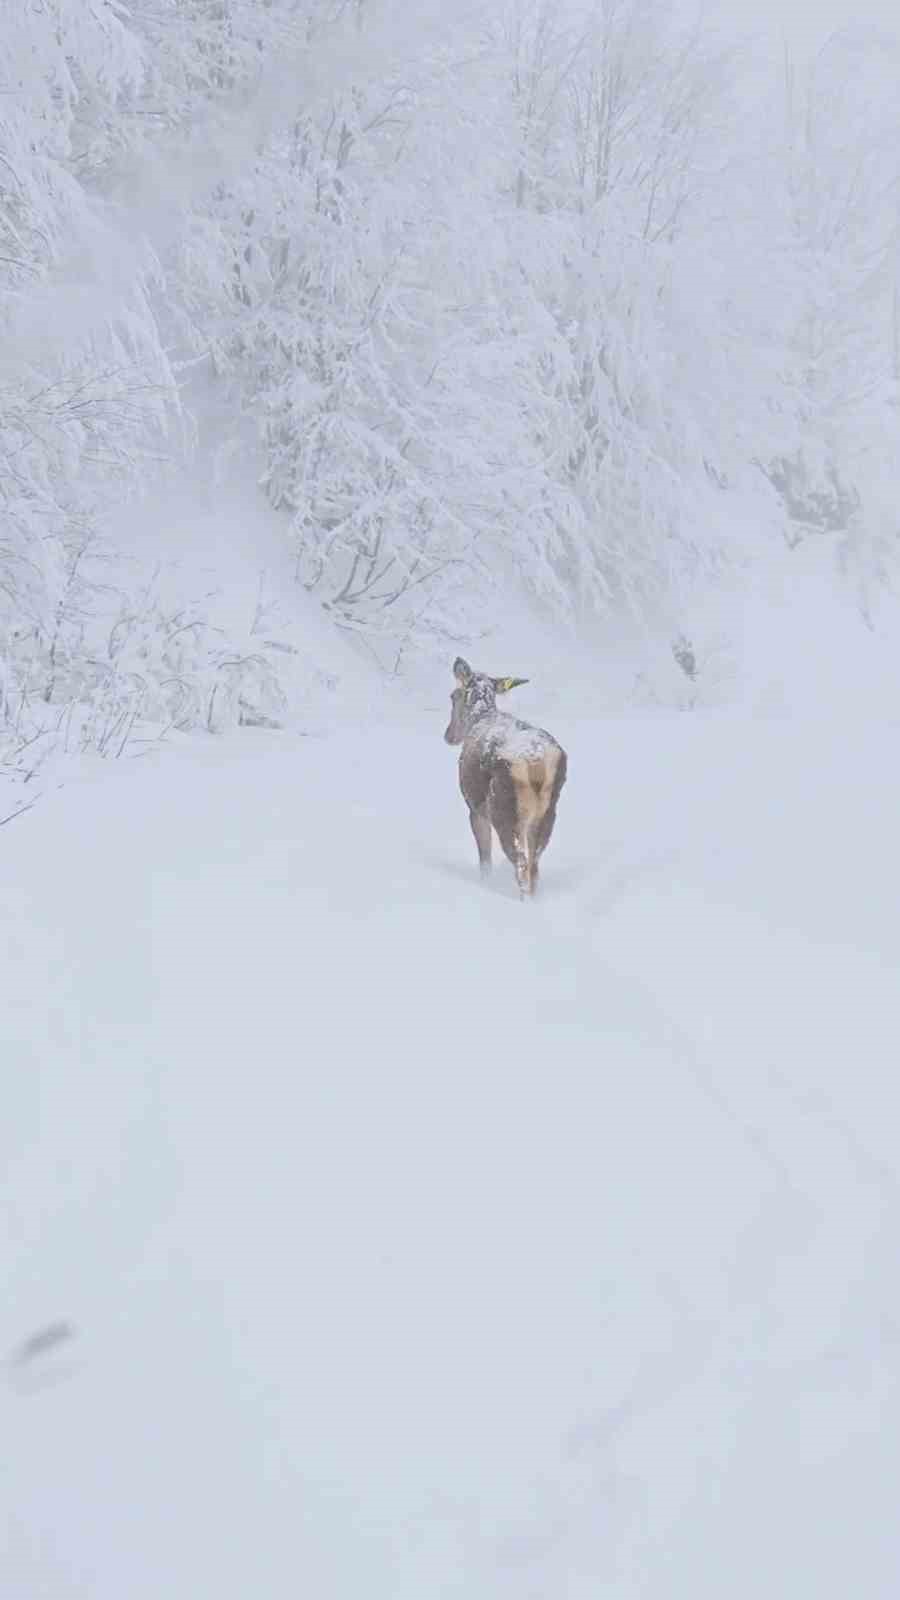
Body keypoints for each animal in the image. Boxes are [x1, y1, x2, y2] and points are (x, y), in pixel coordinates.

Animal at [441, 652, 563, 902]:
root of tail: (535, 762)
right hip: (547, 812)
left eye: (453, 696)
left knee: (521, 864)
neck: (480, 716)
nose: (448, 735)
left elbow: (485, 859)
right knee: (535, 863)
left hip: (503, 809)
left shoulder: (475, 807)